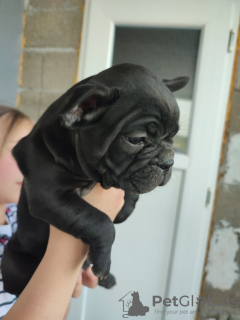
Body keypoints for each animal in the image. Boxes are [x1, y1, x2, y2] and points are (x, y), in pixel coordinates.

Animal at [1, 63, 189, 296]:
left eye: (172, 137)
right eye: (136, 139)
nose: (168, 162)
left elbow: (129, 189)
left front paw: (125, 209)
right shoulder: (48, 196)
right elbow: (99, 221)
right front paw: (103, 262)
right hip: (15, 262)